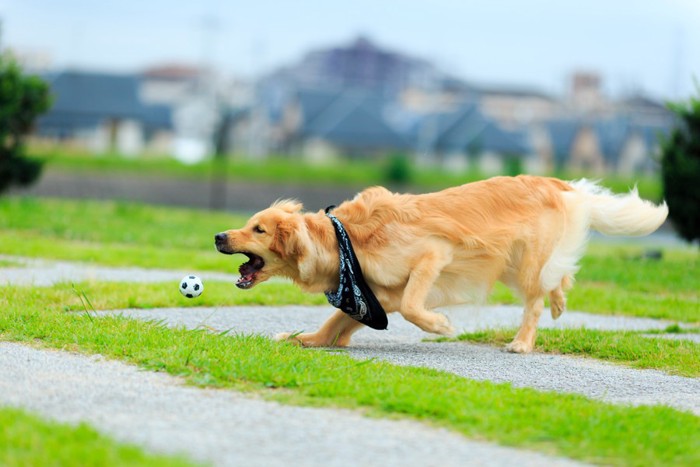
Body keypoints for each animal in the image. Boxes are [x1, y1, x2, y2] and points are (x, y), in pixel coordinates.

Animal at [213, 177, 668, 352]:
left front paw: (441, 326)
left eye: (258, 229)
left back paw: (522, 342)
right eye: (247, 224)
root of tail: (560, 184)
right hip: (509, 264)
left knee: (536, 300)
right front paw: (303, 338)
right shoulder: (377, 296)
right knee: (558, 279)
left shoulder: (433, 255)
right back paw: (560, 302)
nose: (218, 236)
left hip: (523, 263)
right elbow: (334, 324)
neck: (345, 241)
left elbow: (415, 305)